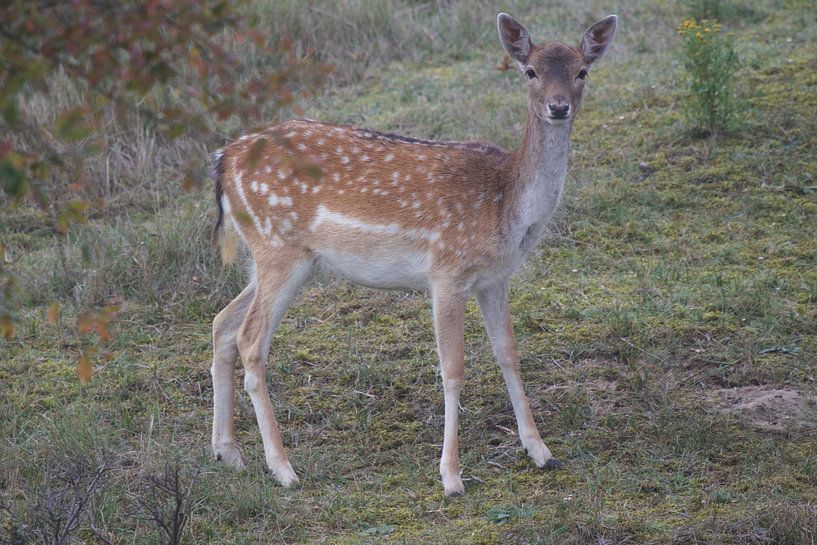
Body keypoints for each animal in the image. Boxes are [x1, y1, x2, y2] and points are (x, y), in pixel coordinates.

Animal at [207, 13, 616, 498]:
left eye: (582, 72)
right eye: (530, 71)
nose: (558, 107)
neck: (508, 206)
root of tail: (223, 159)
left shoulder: (495, 278)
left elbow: (508, 353)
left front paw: (541, 452)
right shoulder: (447, 272)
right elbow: (453, 368)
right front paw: (452, 476)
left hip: (271, 256)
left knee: (222, 323)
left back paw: (227, 453)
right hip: (278, 247)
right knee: (250, 340)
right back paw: (283, 468)